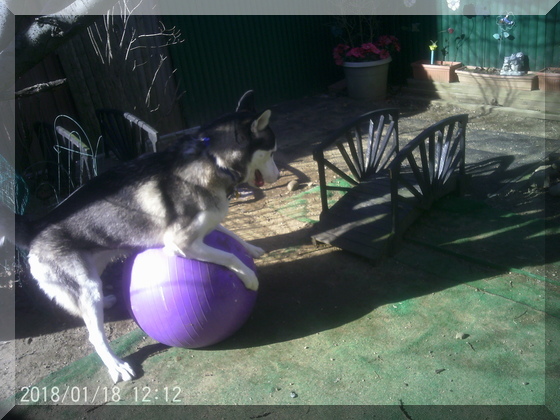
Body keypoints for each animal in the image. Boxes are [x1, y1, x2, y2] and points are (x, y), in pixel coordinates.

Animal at [0, 90, 280, 382]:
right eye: (272, 152)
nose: (279, 174)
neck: (213, 158)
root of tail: (37, 225)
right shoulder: (180, 244)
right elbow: (227, 256)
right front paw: (248, 276)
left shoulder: (205, 222)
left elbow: (227, 231)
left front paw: (250, 248)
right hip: (86, 285)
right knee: (94, 335)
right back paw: (116, 365)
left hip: (94, 270)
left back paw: (107, 302)